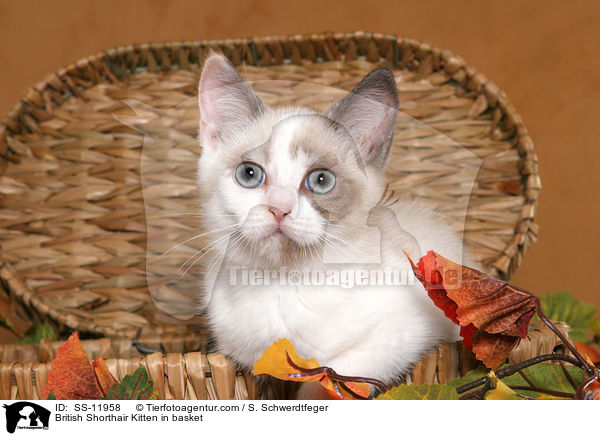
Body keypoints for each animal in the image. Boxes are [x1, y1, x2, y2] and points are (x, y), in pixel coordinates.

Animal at [195, 53, 472, 398]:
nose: (279, 209)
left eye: (321, 180)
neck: (282, 284)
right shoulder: (237, 351)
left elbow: (331, 378)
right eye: (249, 174)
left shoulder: (409, 333)